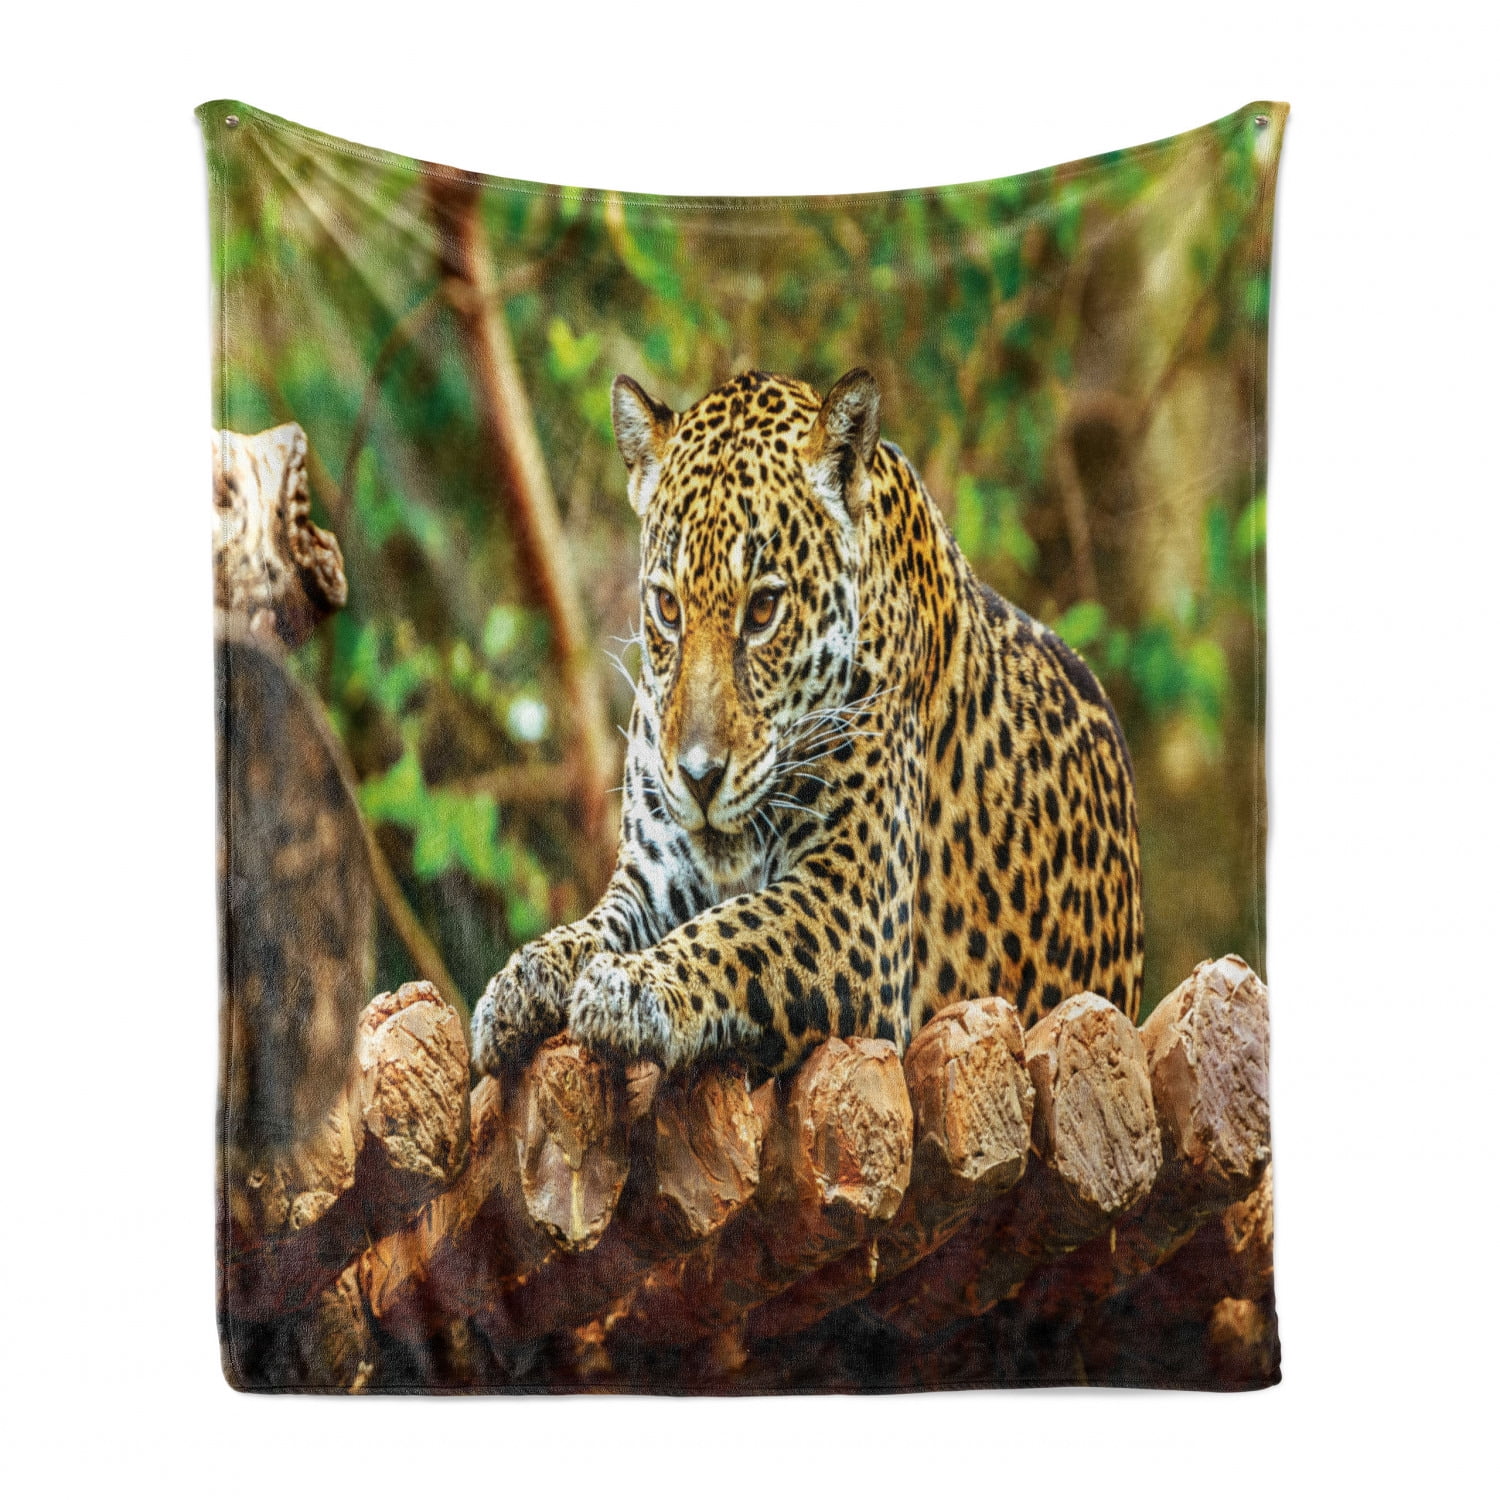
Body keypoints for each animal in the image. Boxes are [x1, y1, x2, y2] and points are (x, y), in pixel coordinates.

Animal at [471, 368, 1143, 1081]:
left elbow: (735, 931)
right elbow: (594, 926)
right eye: (667, 607)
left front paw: (629, 986)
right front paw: (518, 983)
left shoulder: (854, 903)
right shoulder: (653, 876)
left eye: (764, 608)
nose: (699, 777)